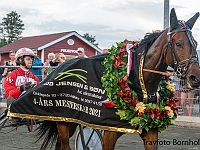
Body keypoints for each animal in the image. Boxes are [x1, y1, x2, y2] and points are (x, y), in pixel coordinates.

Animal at [34, 7, 200, 150]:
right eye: (178, 43)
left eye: (196, 43)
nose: (195, 77)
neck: (138, 84)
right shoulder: (109, 133)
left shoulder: (151, 133)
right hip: (62, 121)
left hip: (72, 121)